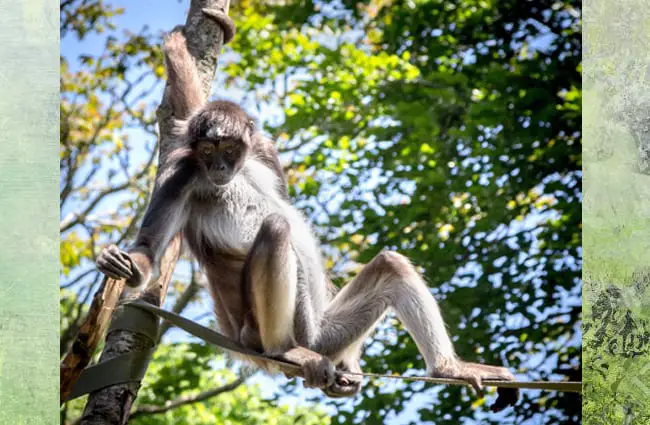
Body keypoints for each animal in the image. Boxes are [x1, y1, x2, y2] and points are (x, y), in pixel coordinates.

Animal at [95, 28, 516, 402]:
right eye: (208, 151)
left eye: (228, 148)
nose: (218, 168)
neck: (237, 171)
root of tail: (242, 339)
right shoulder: (182, 173)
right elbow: (149, 247)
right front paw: (128, 265)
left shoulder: (262, 151)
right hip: (287, 331)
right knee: (277, 228)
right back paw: (284, 350)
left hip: (326, 334)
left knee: (391, 265)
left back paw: (447, 368)